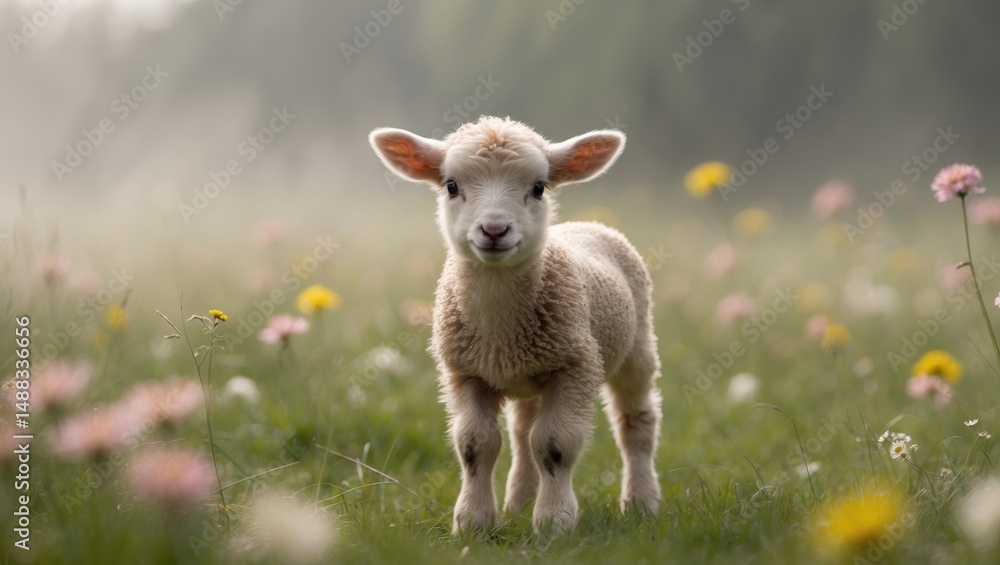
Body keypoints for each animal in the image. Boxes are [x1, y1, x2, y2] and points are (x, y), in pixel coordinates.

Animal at [369, 116, 662, 534]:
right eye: (451, 185)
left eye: (538, 187)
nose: (494, 230)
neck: (500, 329)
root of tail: (587, 224)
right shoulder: (465, 371)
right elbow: (475, 444)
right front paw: (473, 523)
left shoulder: (576, 365)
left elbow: (555, 444)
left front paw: (554, 522)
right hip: (530, 374)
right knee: (523, 435)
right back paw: (519, 503)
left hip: (636, 346)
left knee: (635, 424)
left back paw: (641, 503)